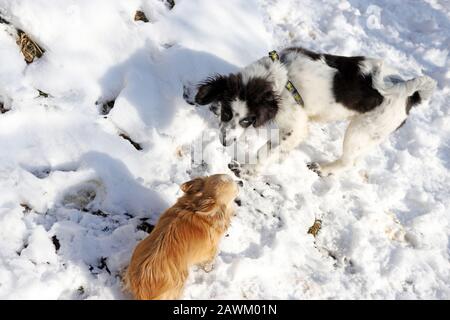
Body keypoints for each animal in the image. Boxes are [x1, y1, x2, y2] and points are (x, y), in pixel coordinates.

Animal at [192, 47, 434, 178]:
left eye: (247, 121)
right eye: (226, 114)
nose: (225, 142)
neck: (280, 77)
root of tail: (410, 94)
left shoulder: (296, 126)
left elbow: (266, 150)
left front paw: (248, 169)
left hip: (361, 130)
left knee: (348, 161)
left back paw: (323, 169)